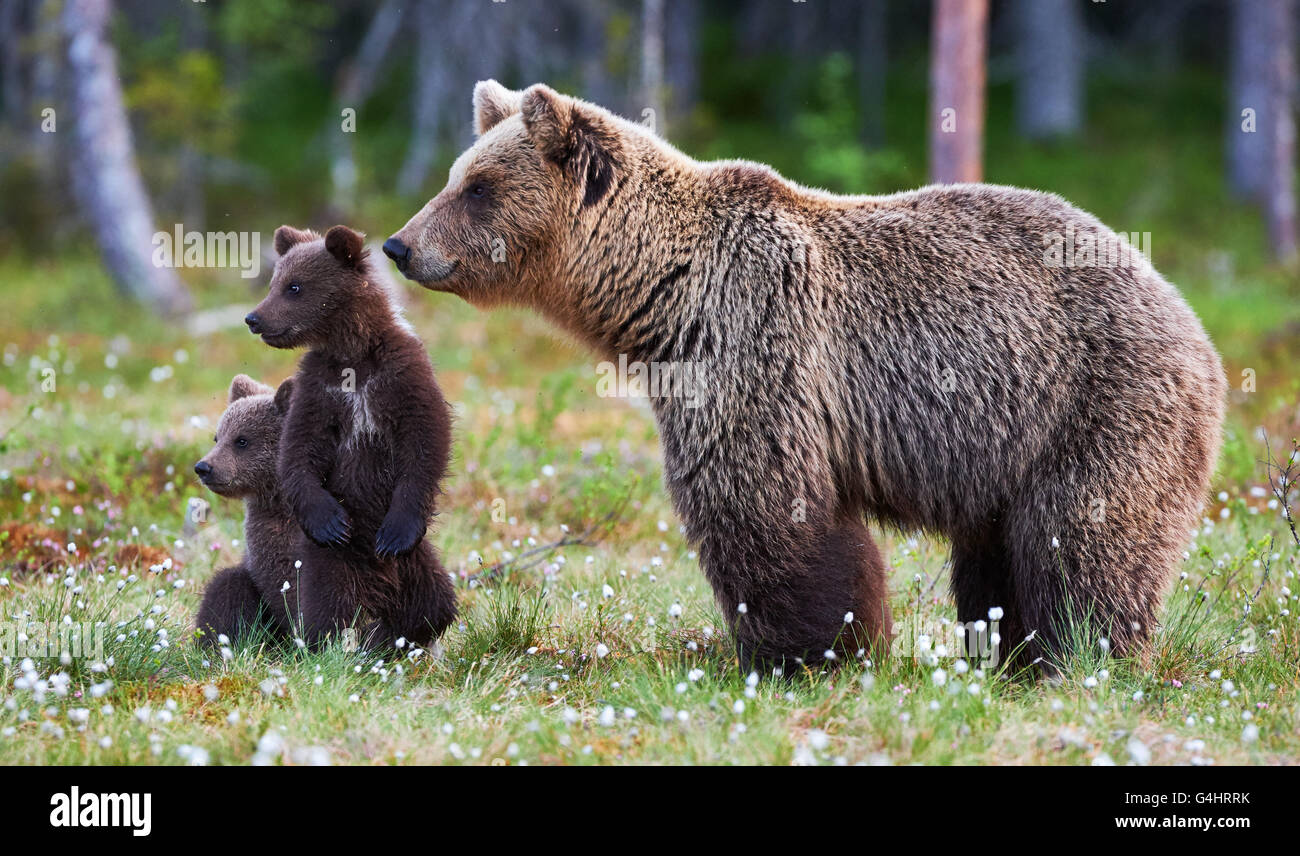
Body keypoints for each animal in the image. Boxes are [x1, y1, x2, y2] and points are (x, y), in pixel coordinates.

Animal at [243, 224, 457, 650]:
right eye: (275, 282)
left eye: (294, 287)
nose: (253, 318)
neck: (353, 354)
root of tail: (379, 580)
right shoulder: (319, 390)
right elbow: (299, 449)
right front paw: (329, 520)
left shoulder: (402, 375)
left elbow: (425, 440)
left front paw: (395, 532)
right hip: (334, 561)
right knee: (330, 605)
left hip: (416, 562)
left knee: (434, 603)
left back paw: (393, 637)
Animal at [383, 80, 1226, 674]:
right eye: (457, 175)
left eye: (478, 187)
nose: (399, 244)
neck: (661, 297)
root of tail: (1193, 322)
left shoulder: (757, 344)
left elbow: (759, 503)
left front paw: (803, 651)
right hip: (1011, 449)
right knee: (998, 557)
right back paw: (1011, 655)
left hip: (1095, 402)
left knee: (1081, 538)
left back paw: (1080, 654)